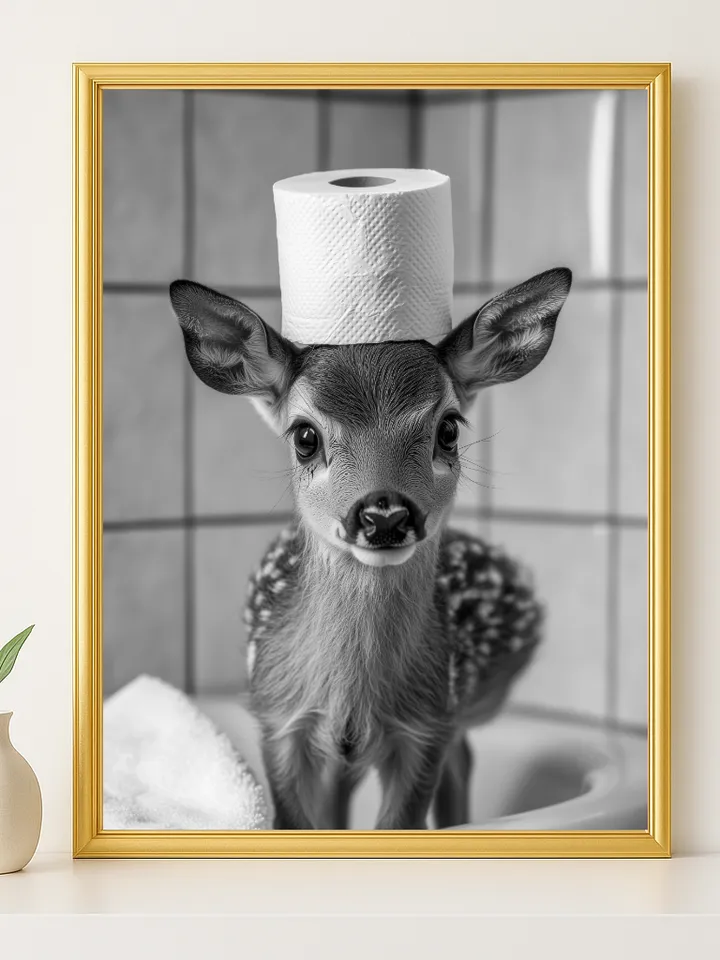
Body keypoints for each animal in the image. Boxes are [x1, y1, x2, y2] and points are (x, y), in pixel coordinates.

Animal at [170, 265, 572, 830]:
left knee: (461, 759)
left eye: (449, 428)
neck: (352, 698)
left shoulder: (427, 724)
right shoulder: (277, 720)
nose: (385, 515)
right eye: (305, 436)